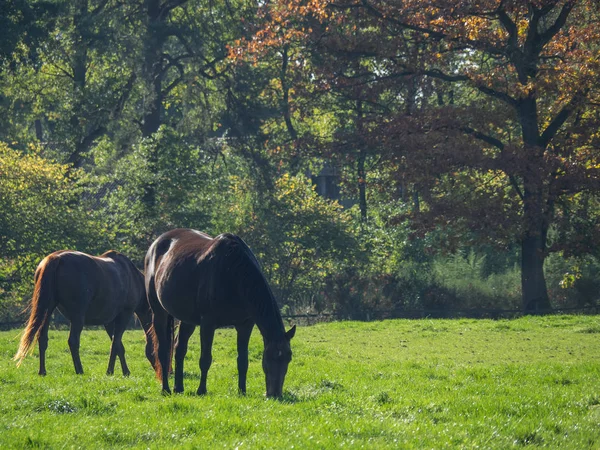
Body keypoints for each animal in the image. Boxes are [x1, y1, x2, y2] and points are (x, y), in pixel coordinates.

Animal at [14, 250, 156, 376]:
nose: (163, 372)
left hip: (47, 311)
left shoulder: (109, 322)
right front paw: (112, 371)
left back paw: (42, 371)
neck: (132, 277)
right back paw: (79, 370)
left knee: (42, 338)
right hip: (78, 316)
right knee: (73, 341)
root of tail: (55, 259)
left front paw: (123, 371)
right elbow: (115, 344)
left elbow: (118, 346)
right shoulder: (124, 314)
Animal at [145, 229, 296, 398]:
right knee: (163, 351)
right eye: (269, 356)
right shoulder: (208, 324)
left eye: (289, 357)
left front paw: (242, 391)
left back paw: (179, 387)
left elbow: (243, 360)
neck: (233, 273)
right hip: (159, 312)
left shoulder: (245, 325)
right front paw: (201, 390)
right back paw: (166, 389)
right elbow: (205, 359)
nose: (275, 394)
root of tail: (157, 243)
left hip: (188, 319)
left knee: (179, 349)